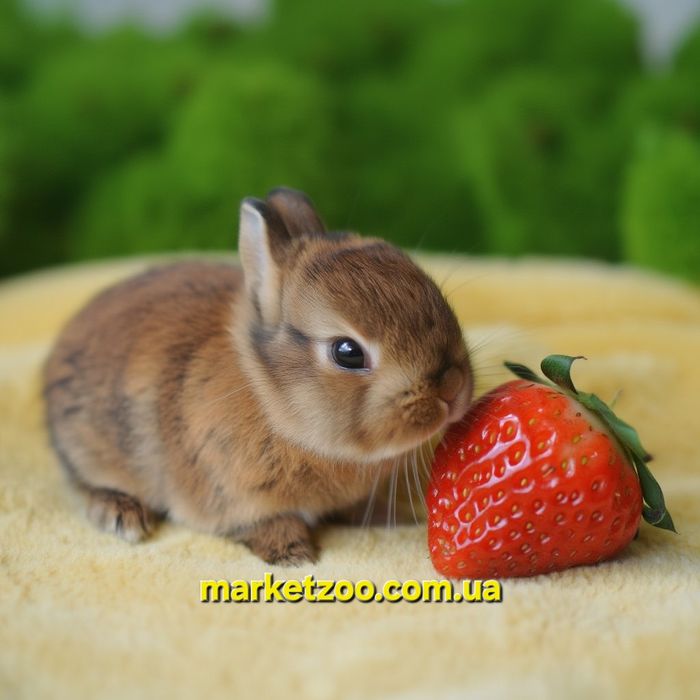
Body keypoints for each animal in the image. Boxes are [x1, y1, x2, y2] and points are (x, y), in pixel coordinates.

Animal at [43, 188, 473, 565]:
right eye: (347, 353)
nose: (453, 390)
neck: (272, 401)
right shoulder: (233, 496)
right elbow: (264, 524)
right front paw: (293, 555)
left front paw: (400, 514)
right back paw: (123, 515)